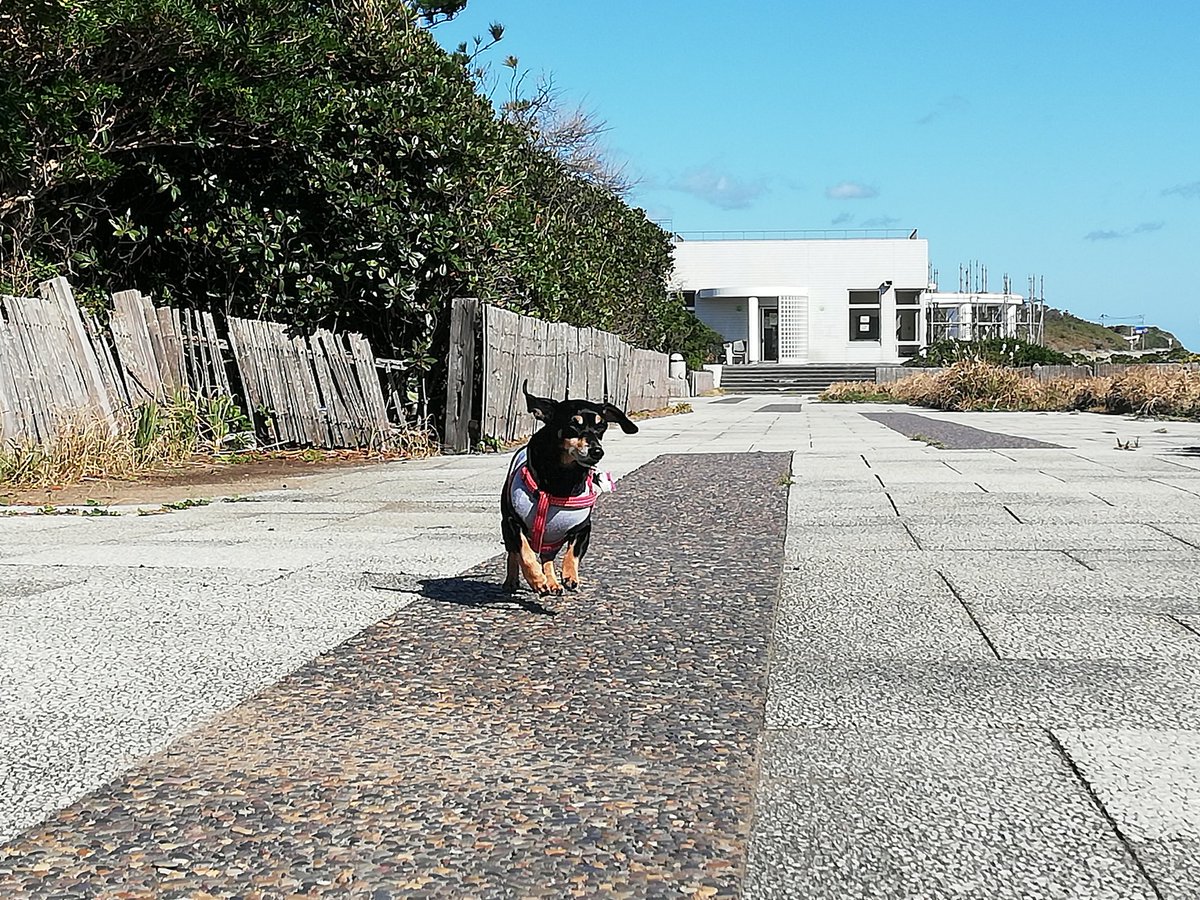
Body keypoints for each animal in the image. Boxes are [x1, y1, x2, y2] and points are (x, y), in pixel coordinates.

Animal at [501, 381, 643, 600]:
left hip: (552, 540)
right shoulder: (512, 522)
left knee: (547, 557)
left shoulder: (583, 528)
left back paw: (552, 582)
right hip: (506, 528)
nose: (597, 451)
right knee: (514, 553)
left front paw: (569, 575)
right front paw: (535, 578)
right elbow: (524, 551)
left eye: (601, 426)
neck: (561, 481)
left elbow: (574, 552)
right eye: (573, 425)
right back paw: (513, 580)